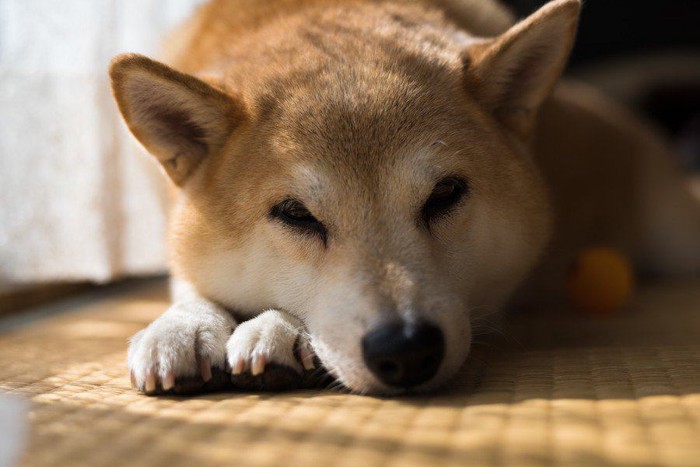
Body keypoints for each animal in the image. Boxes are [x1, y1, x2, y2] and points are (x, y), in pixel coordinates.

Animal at [109, 0, 700, 394]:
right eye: (295, 214)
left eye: (444, 194)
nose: (406, 349)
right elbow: (189, 281)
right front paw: (184, 326)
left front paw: (276, 327)